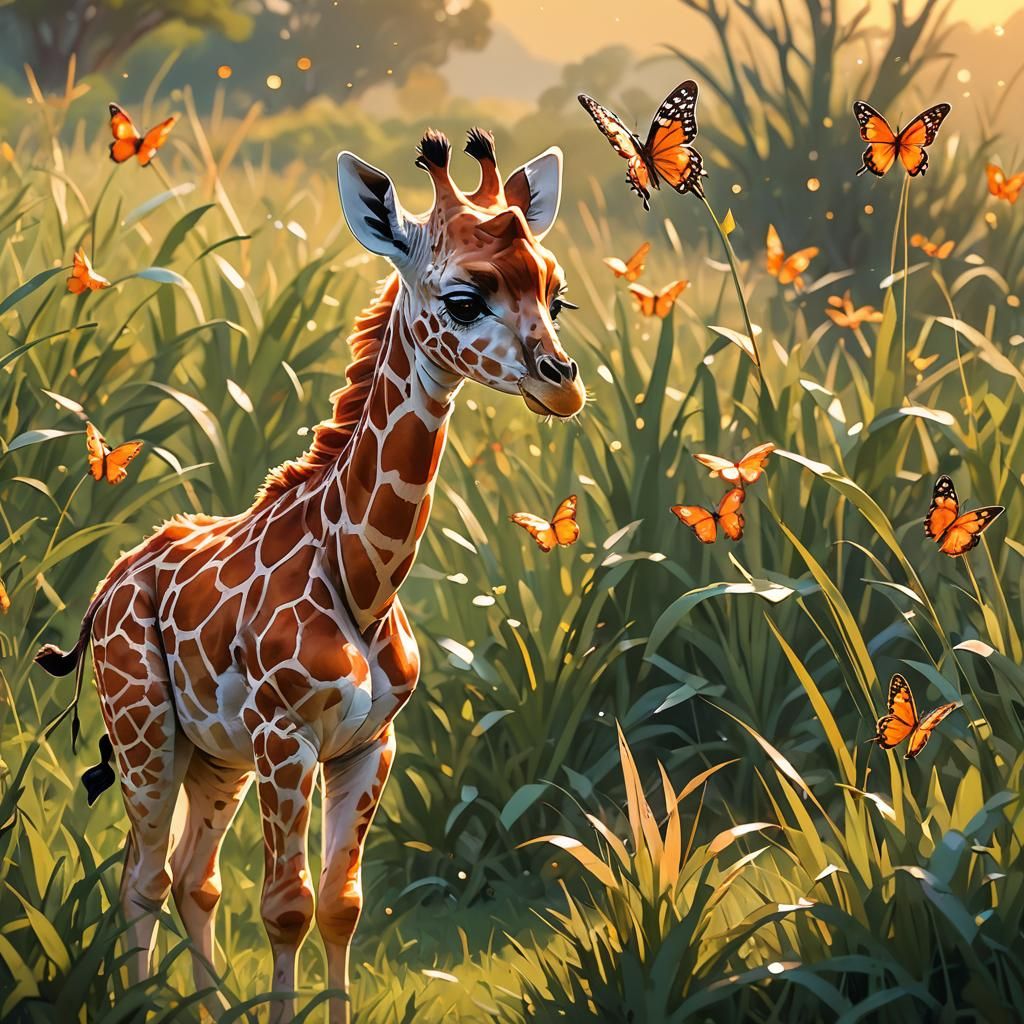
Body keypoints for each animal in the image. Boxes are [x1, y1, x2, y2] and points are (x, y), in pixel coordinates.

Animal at [35, 127, 585, 1023]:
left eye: (555, 293)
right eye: (464, 299)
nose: (560, 383)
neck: (365, 579)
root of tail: (111, 582)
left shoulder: (367, 745)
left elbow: (340, 906)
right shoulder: (284, 737)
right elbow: (285, 907)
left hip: (213, 756)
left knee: (191, 877)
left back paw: (206, 1006)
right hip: (148, 733)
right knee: (142, 879)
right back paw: (144, 1003)